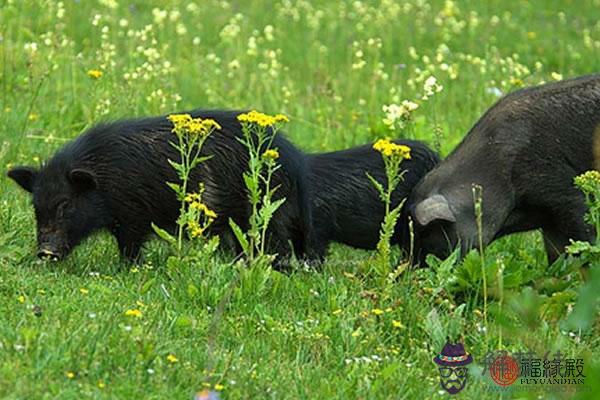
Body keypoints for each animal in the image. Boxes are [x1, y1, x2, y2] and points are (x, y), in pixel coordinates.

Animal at [7, 111, 312, 264]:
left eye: (66, 204)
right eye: (36, 206)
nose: (45, 252)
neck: (104, 179)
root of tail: (297, 163)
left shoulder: (133, 216)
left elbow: (130, 245)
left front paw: (129, 268)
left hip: (264, 212)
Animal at [408, 73, 600, 264]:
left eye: (428, 239)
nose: (412, 270)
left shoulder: (563, 190)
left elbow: (583, 238)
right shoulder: (549, 222)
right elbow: (557, 254)